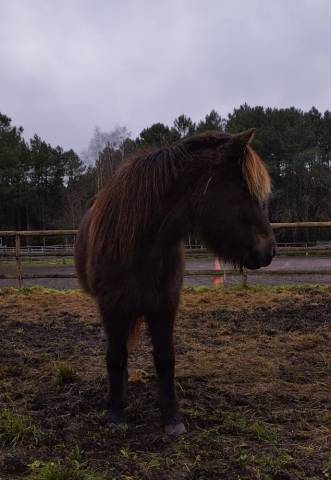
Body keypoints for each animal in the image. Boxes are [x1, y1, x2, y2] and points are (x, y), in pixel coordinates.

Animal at [76, 128, 278, 436]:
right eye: (245, 192)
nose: (269, 251)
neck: (140, 247)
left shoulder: (165, 306)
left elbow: (165, 358)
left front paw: (172, 417)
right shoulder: (111, 308)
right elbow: (115, 356)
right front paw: (115, 412)